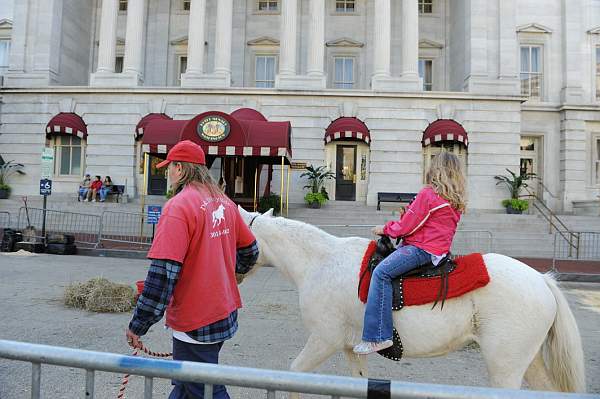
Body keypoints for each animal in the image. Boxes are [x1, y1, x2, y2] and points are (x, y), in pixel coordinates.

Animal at [238, 208, 584, 396]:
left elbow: (294, 373)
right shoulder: (350, 348)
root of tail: (541, 280)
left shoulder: (324, 339)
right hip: (529, 361)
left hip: (506, 367)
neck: (320, 261)